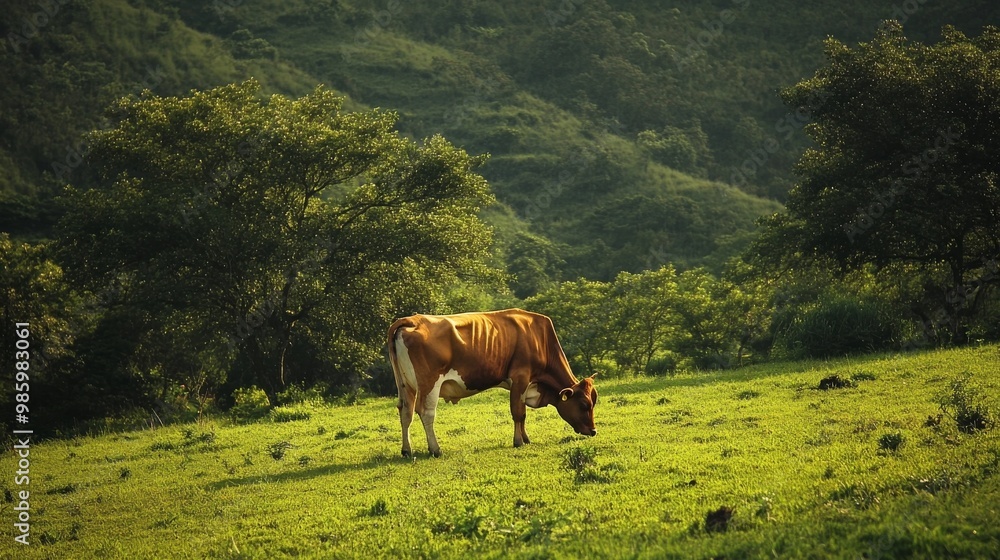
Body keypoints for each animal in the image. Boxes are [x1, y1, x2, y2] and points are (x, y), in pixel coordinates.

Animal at [386, 309, 598, 457]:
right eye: (583, 404)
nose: (593, 431)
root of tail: (412, 319)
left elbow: (523, 413)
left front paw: (526, 438)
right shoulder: (520, 377)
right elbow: (518, 413)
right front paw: (518, 441)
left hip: (405, 385)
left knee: (405, 412)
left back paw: (406, 450)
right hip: (429, 383)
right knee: (426, 413)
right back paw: (435, 449)